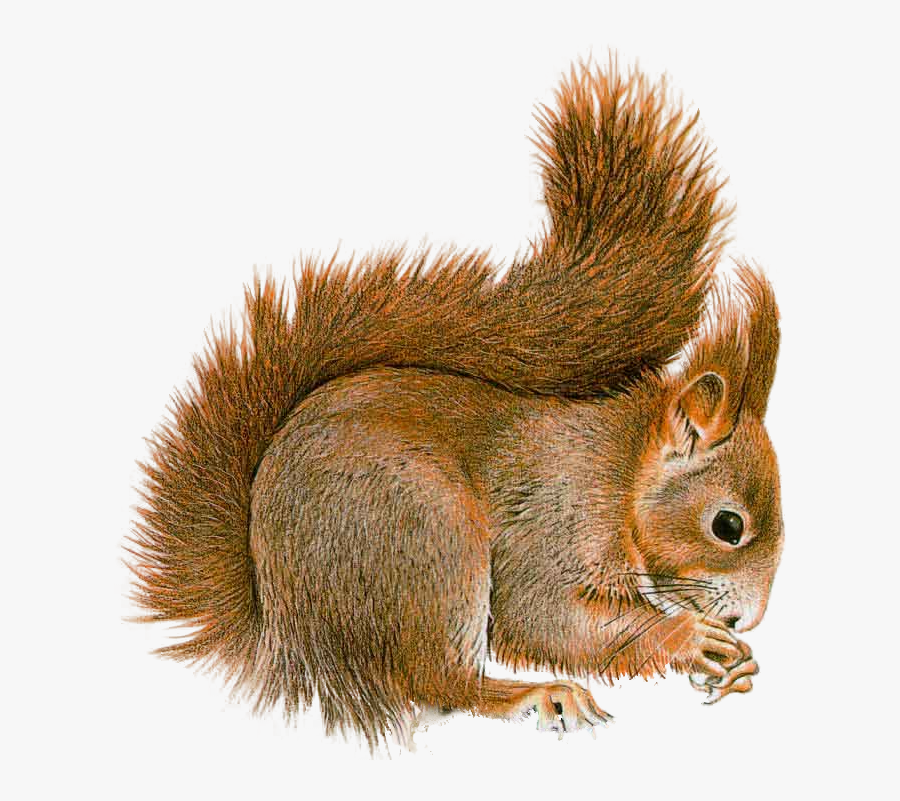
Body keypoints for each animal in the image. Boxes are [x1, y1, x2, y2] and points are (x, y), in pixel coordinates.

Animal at [128, 58, 783, 747]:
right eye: (728, 526)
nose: (746, 620)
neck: (623, 471)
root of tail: (286, 633)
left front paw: (740, 668)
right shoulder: (554, 517)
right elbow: (542, 614)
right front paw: (691, 638)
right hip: (429, 539)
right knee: (438, 681)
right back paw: (536, 694)